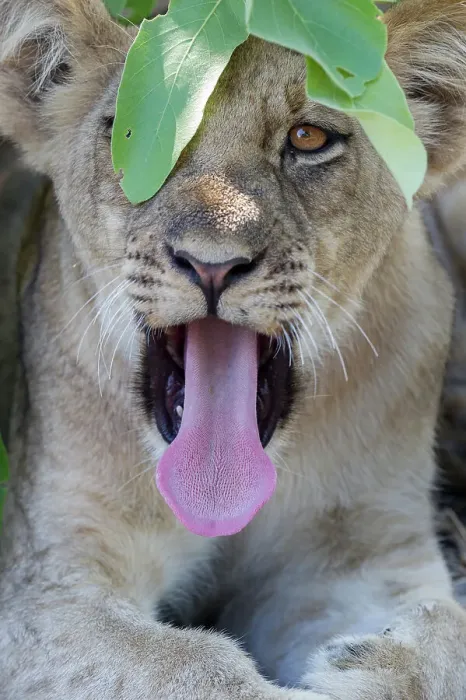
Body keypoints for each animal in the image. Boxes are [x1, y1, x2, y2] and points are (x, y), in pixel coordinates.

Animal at [1, 0, 466, 697]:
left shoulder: (370, 544)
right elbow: (182, 664)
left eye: (308, 138)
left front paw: (367, 667)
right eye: (130, 135)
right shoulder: (51, 577)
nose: (211, 266)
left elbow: (444, 629)